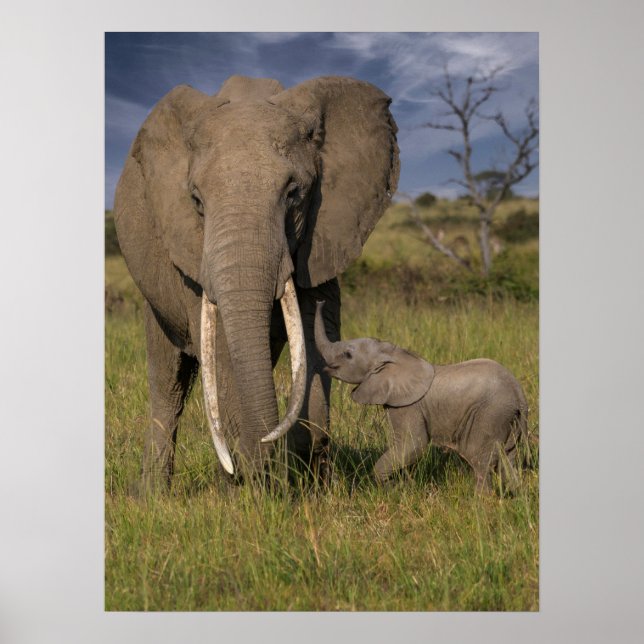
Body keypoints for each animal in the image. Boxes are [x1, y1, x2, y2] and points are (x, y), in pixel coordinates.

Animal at [113, 75, 400, 490]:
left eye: (294, 194)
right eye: (196, 201)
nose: (267, 447)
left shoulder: (322, 235)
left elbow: (316, 336)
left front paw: (308, 481)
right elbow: (219, 351)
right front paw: (253, 484)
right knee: (168, 382)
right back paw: (155, 495)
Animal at [266, 302, 529, 493]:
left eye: (348, 355)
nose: (319, 301)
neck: (393, 355)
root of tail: (519, 393)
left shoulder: (408, 405)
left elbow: (413, 444)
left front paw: (391, 488)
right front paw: (399, 487)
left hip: (490, 413)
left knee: (480, 458)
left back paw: (480, 502)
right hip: (507, 418)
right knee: (507, 457)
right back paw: (513, 495)